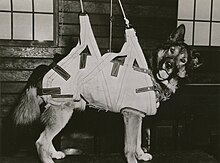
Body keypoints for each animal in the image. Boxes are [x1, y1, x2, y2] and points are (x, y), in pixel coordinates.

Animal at [12, 24, 202, 163]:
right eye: (171, 51)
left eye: (183, 60)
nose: (168, 64)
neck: (151, 73)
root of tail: (47, 66)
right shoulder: (131, 116)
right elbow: (130, 147)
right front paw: (133, 159)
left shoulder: (137, 116)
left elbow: (138, 141)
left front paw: (141, 155)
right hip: (62, 112)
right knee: (41, 142)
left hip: (59, 111)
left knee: (45, 136)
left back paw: (54, 154)